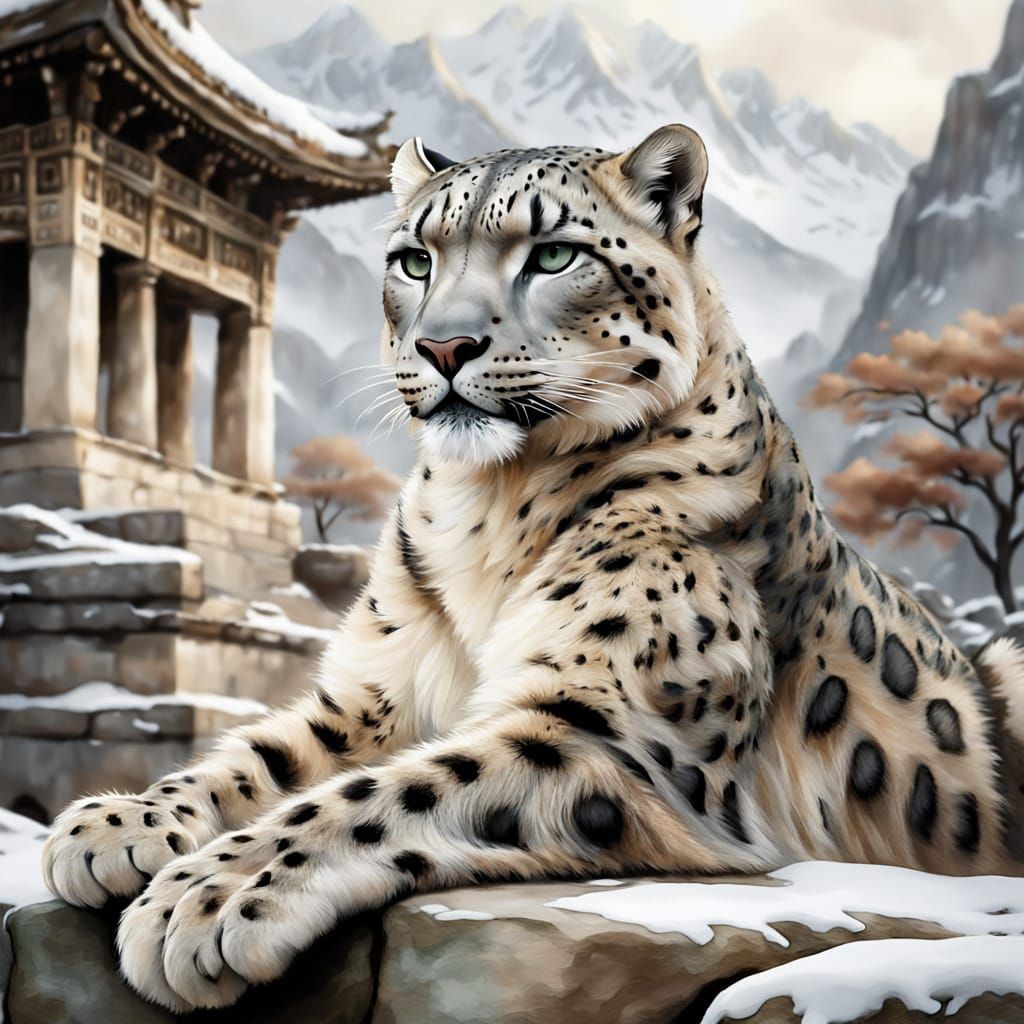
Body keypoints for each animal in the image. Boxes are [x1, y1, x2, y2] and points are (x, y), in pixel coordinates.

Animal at [41, 124, 1023, 1013]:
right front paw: (116, 825)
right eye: (414, 260)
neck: (489, 505)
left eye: (553, 254)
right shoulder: (374, 694)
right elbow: (263, 755)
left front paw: (205, 900)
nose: (443, 348)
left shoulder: (607, 730)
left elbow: (387, 791)